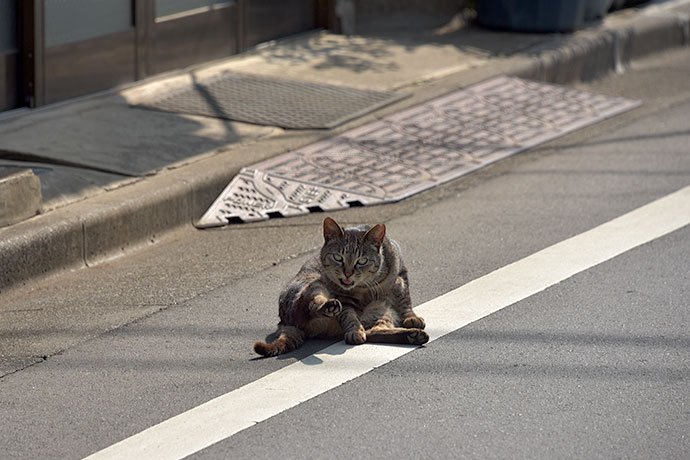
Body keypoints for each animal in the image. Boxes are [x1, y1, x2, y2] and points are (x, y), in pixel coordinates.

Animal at [253, 217, 424, 358]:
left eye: (362, 260)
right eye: (338, 257)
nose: (348, 273)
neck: (363, 288)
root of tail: (285, 323)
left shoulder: (401, 276)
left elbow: (405, 301)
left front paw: (412, 317)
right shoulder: (344, 299)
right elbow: (349, 316)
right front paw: (354, 331)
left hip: (384, 308)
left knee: (375, 330)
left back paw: (413, 336)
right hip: (314, 284)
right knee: (311, 306)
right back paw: (329, 306)